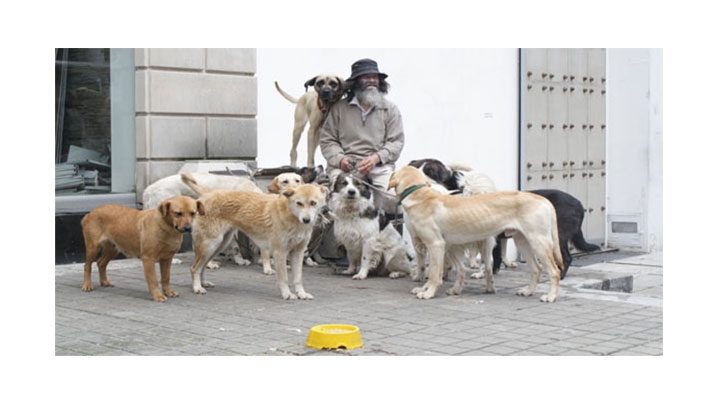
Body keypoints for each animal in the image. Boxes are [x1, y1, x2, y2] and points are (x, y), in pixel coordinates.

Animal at [181, 172, 328, 298]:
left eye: (313, 203)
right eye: (299, 203)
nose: (306, 220)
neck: (291, 215)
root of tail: (208, 193)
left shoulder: (298, 252)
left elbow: (298, 278)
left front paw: (301, 294)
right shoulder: (279, 252)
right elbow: (284, 278)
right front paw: (287, 294)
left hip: (219, 245)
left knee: (202, 267)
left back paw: (203, 283)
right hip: (210, 245)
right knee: (194, 268)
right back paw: (197, 287)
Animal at [388, 166, 564, 302]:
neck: (419, 194)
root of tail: (544, 200)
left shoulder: (436, 245)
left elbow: (433, 274)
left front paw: (429, 293)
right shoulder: (444, 247)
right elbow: (438, 271)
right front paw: (425, 289)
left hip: (539, 242)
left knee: (554, 271)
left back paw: (551, 297)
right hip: (523, 242)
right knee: (537, 269)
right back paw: (528, 291)